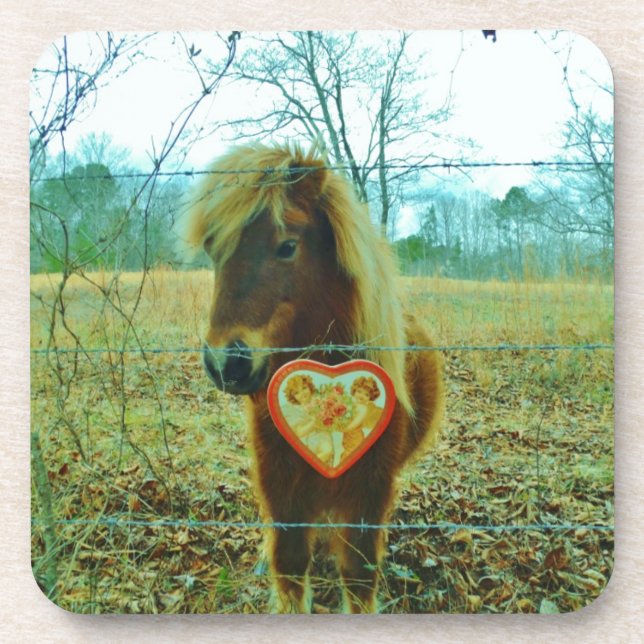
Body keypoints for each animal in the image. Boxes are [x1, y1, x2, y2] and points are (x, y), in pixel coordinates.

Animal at [182, 142, 443, 613]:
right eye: (213, 251)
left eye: (287, 246)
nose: (226, 363)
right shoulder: (279, 484)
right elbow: (288, 563)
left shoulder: (369, 492)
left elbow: (358, 576)